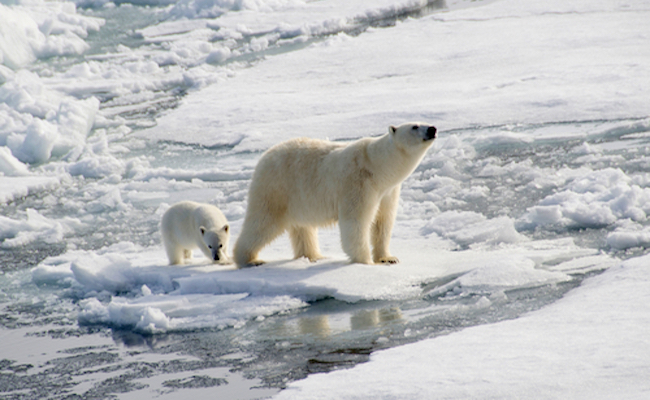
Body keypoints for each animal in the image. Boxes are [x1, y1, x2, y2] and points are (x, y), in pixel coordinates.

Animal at [233, 121, 436, 266]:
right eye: (415, 126)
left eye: (424, 121)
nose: (432, 129)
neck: (377, 167)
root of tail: (263, 157)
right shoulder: (358, 183)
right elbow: (355, 221)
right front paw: (365, 261)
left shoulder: (388, 191)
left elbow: (383, 222)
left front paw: (388, 258)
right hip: (276, 188)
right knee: (263, 221)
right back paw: (250, 259)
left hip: (297, 197)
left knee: (302, 227)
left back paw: (314, 256)